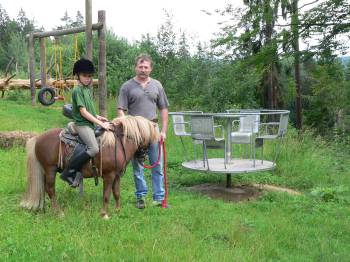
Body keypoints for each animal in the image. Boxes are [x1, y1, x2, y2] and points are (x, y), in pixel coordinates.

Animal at [19, 116, 159, 219]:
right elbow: (106, 195)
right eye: (150, 139)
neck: (117, 143)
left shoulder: (117, 175)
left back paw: (43, 208)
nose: (143, 157)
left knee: (43, 188)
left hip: (45, 170)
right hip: (50, 169)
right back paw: (58, 212)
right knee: (50, 190)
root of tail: (38, 138)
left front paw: (118, 211)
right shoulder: (109, 175)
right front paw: (104, 214)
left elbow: (116, 193)